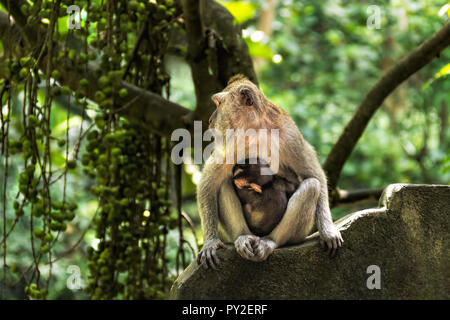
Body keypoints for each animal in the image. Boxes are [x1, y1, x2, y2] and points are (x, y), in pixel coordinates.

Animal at [198, 75, 344, 270]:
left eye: (219, 104)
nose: (210, 120)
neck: (256, 130)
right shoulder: (230, 143)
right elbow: (209, 184)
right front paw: (211, 243)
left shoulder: (291, 135)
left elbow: (313, 175)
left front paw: (328, 230)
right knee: (223, 185)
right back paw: (243, 238)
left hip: (298, 234)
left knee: (312, 186)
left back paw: (269, 242)